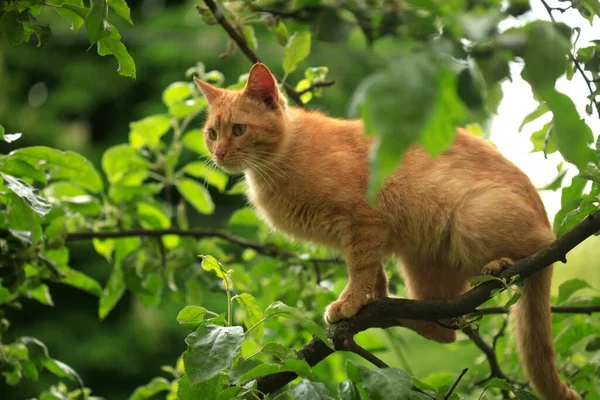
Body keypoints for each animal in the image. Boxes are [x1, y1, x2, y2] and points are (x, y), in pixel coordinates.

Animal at [195, 63, 580, 400]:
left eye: (239, 129)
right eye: (212, 133)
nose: (220, 153)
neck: (280, 161)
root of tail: (545, 219)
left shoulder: (364, 219)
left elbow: (360, 267)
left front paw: (350, 302)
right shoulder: (359, 234)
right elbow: (370, 270)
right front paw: (369, 298)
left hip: (472, 221)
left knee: (537, 247)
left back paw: (501, 264)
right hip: (424, 265)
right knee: (447, 328)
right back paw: (401, 309)